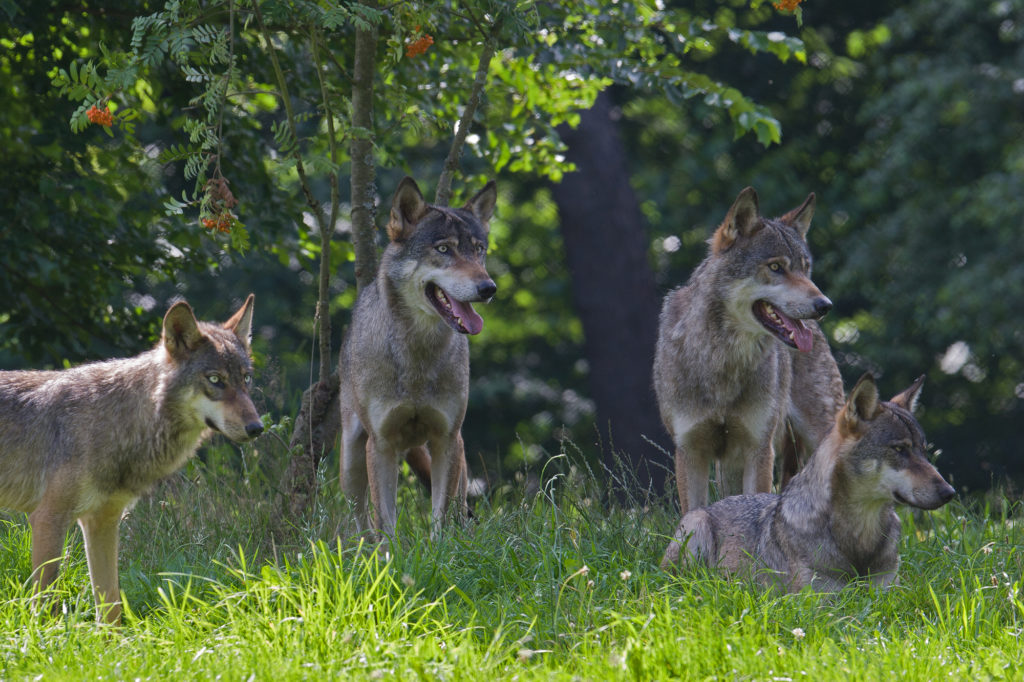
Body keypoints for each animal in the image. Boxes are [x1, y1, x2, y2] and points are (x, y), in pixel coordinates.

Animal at [0, 292, 264, 622]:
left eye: (246, 379)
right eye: (215, 379)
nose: (257, 428)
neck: (123, 423)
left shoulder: (102, 522)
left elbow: (111, 607)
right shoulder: (48, 519)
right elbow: (46, 605)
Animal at [339, 178, 495, 540]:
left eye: (479, 249)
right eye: (444, 250)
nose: (488, 288)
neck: (417, 358)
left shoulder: (446, 439)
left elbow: (441, 515)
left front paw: (440, 550)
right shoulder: (380, 444)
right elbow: (385, 520)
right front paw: (388, 554)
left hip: (459, 455)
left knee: (459, 508)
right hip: (351, 458)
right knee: (359, 522)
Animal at [651, 186, 843, 516]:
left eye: (805, 268)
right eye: (776, 267)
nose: (825, 305)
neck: (723, 357)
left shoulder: (758, 448)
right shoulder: (690, 451)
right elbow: (692, 514)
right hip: (729, 466)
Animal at [659, 372, 954, 589]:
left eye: (923, 450)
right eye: (899, 449)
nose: (949, 492)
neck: (859, 537)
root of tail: (714, 504)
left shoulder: (886, 591)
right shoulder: (822, 600)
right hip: (695, 528)